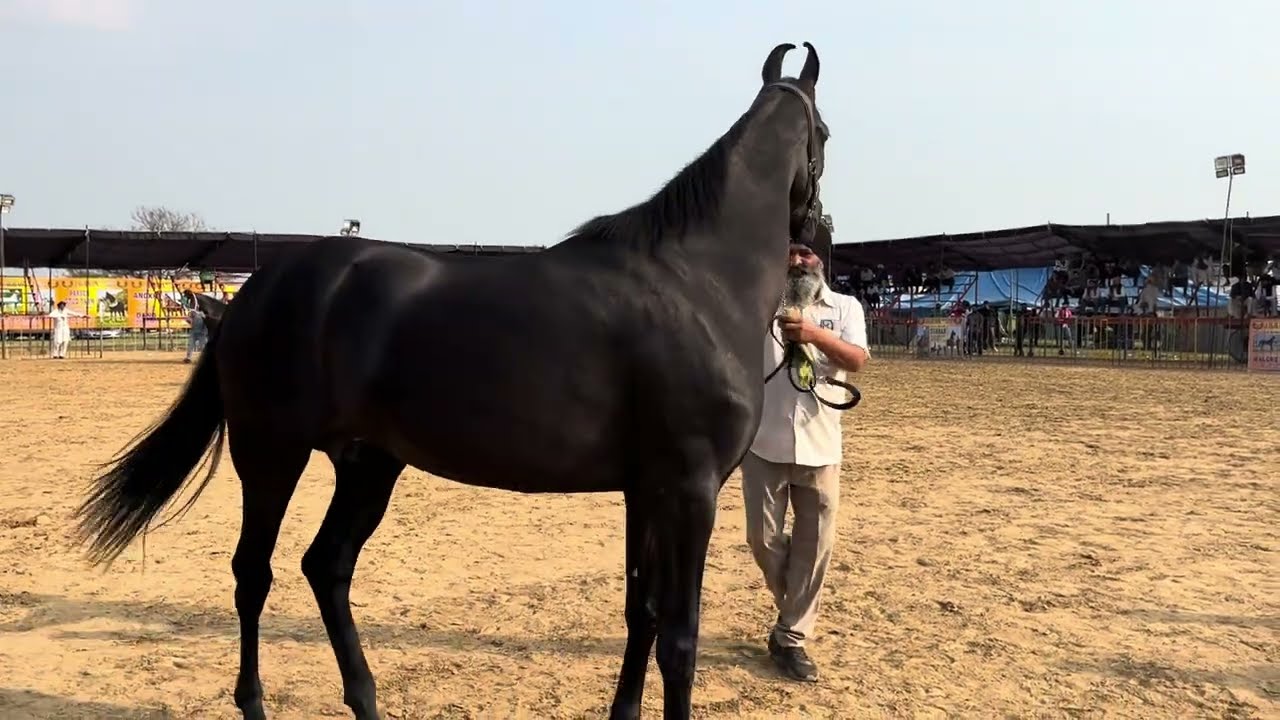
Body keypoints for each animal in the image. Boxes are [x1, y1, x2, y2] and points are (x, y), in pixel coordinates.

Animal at [71, 42, 830, 720]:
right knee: (253, 574)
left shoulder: (648, 490)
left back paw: (366, 700)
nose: (819, 233)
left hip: (367, 465)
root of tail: (249, 293)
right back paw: (255, 702)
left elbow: (639, 612)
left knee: (326, 567)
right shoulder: (692, 491)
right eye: (824, 133)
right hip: (270, 456)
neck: (697, 281)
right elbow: (679, 640)